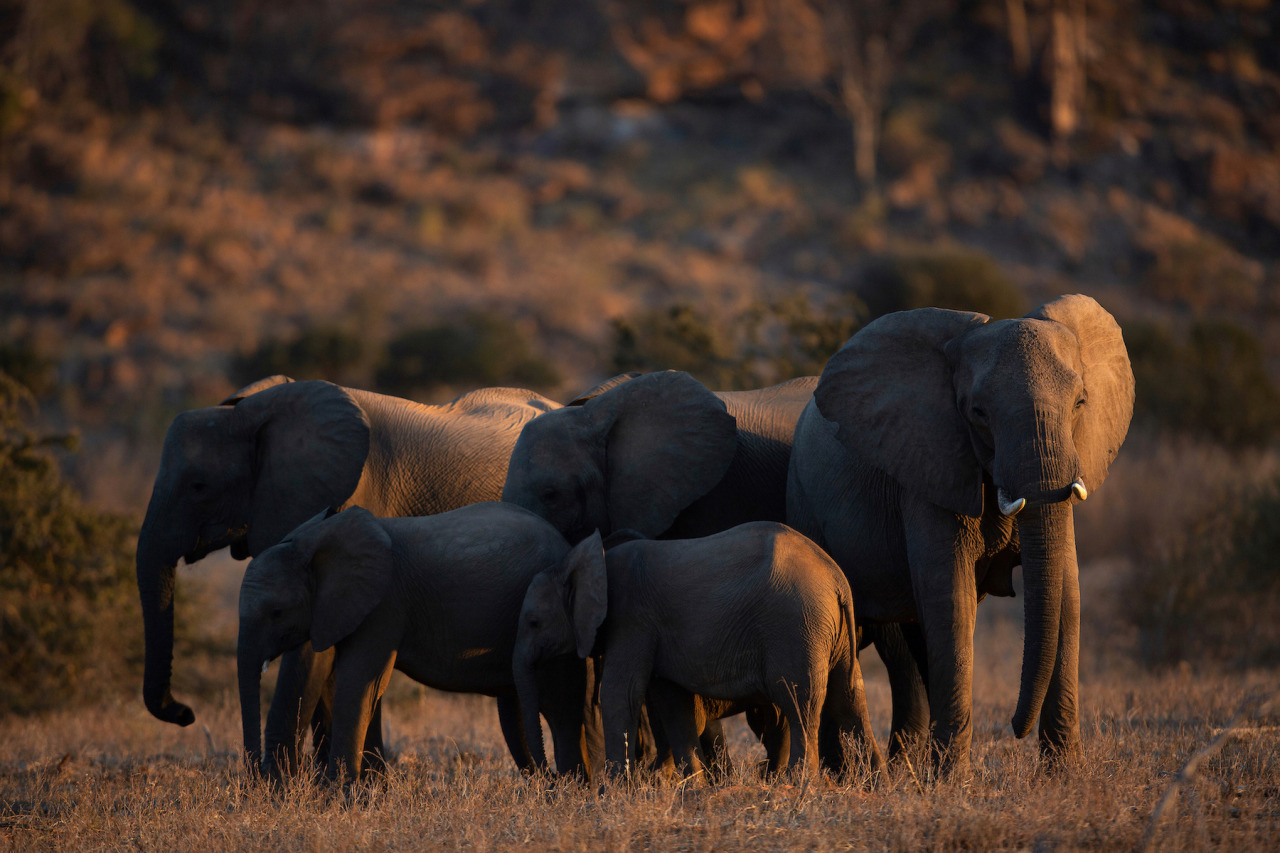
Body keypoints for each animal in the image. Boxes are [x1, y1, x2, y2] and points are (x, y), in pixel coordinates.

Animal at [236, 502, 588, 778]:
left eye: (277, 612)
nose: (257, 779)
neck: (315, 542)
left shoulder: (385, 604)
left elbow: (359, 681)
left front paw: (340, 797)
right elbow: (347, 681)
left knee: (561, 709)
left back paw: (568, 788)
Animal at [509, 517, 880, 778]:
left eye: (534, 623)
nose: (549, 777)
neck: (583, 563)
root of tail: (836, 578)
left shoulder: (632, 620)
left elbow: (620, 694)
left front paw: (611, 793)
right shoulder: (657, 632)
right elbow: (673, 702)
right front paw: (691, 789)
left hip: (795, 624)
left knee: (798, 703)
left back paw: (796, 787)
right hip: (827, 630)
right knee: (849, 697)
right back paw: (874, 786)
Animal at [783, 294, 1136, 778]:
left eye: (1081, 402)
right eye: (978, 413)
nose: (1015, 728)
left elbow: (1067, 591)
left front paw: (1066, 778)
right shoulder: (928, 465)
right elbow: (950, 594)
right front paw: (951, 781)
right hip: (805, 503)